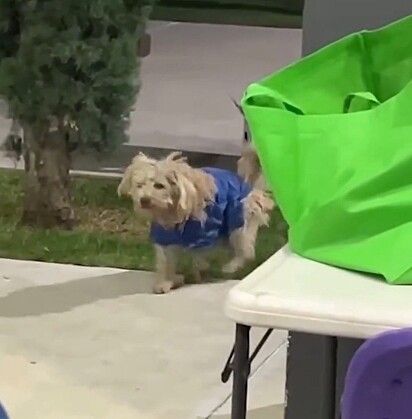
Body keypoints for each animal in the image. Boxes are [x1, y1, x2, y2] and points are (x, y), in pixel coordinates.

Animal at [117, 153, 276, 294]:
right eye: (140, 185)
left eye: (159, 185)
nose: (143, 200)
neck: (170, 211)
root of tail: (247, 185)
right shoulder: (164, 237)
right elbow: (165, 261)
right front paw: (166, 281)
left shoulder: (204, 234)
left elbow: (199, 257)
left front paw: (198, 273)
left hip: (238, 219)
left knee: (246, 250)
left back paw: (230, 266)